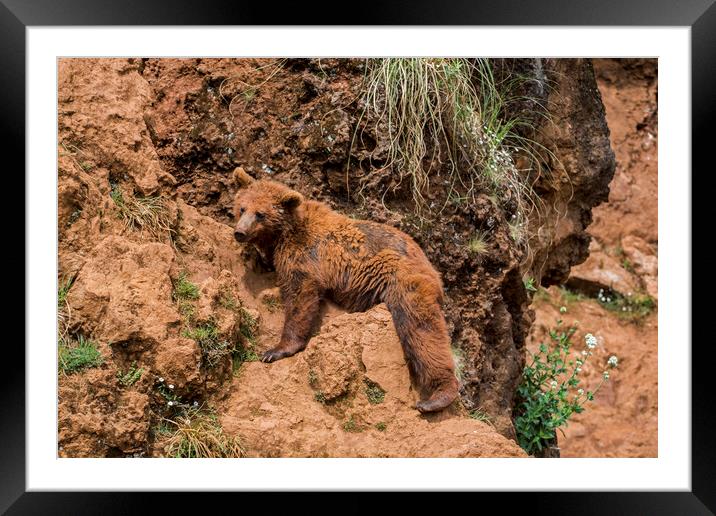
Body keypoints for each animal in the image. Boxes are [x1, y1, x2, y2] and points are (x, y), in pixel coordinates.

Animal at [232, 167, 462, 414]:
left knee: (421, 328)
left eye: (260, 214)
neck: (282, 234)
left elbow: (300, 297)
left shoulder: (305, 257)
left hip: (401, 278)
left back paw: (435, 397)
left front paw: (275, 350)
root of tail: (430, 264)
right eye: (242, 208)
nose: (240, 232)